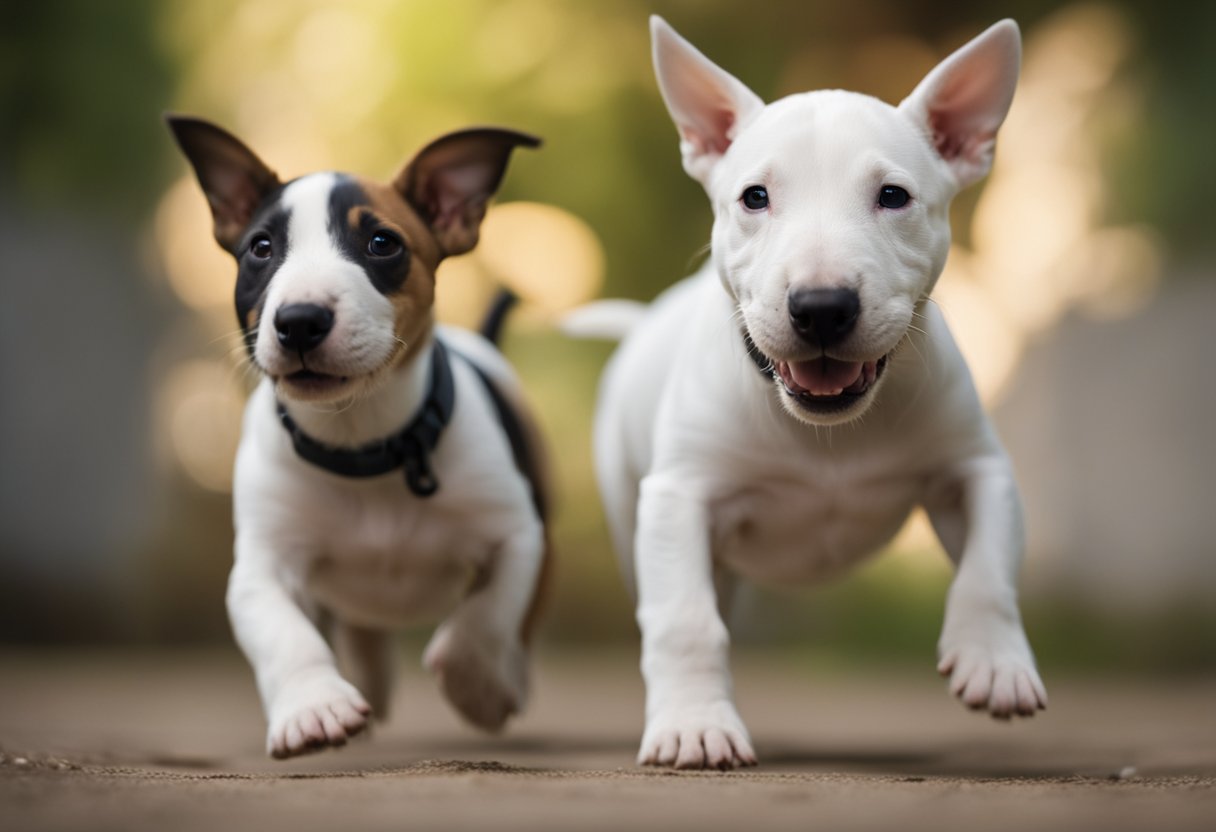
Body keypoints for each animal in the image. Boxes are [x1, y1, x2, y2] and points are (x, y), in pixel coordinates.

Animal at [166, 116, 552, 759]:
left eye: (382, 243)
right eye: (260, 249)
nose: (299, 321)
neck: (361, 444)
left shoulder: (518, 535)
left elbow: (485, 619)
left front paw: (477, 688)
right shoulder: (260, 567)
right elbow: (285, 633)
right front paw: (314, 707)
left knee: (519, 625)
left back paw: (507, 682)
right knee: (360, 629)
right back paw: (368, 688)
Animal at [566, 16, 1045, 768]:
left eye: (894, 196)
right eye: (754, 197)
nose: (822, 308)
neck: (827, 433)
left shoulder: (977, 466)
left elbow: (988, 566)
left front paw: (994, 664)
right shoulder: (677, 497)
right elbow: (683, 620)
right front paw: (694, 725)